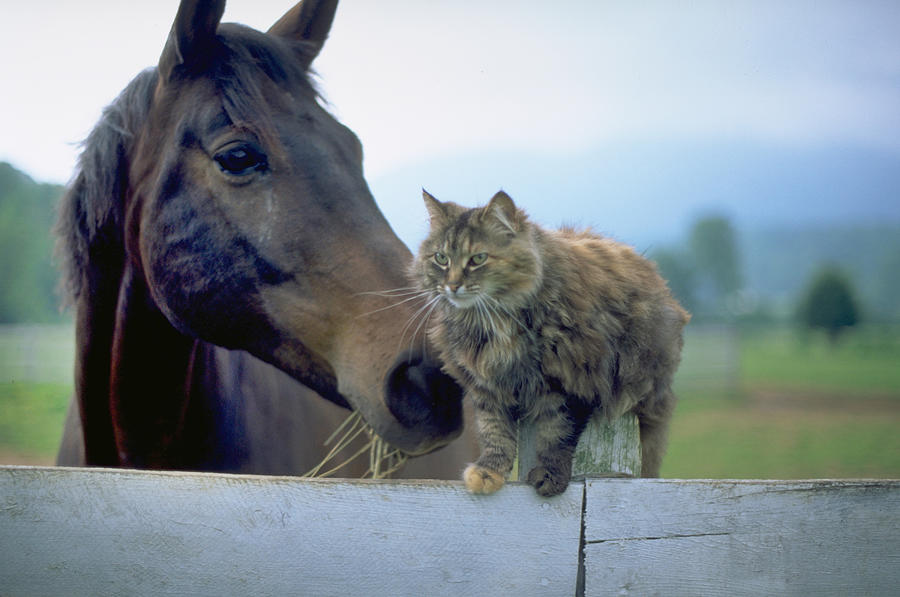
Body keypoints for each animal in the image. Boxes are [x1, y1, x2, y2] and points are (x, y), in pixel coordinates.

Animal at [412, 190, 692, 494]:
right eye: (441, 258)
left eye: (478, 258)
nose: (452, 286)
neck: (492, 320)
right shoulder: (487, 386)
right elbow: (494, 432)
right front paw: (488, 473)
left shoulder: (572, 380)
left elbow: (556, 435)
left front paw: (550, 476)